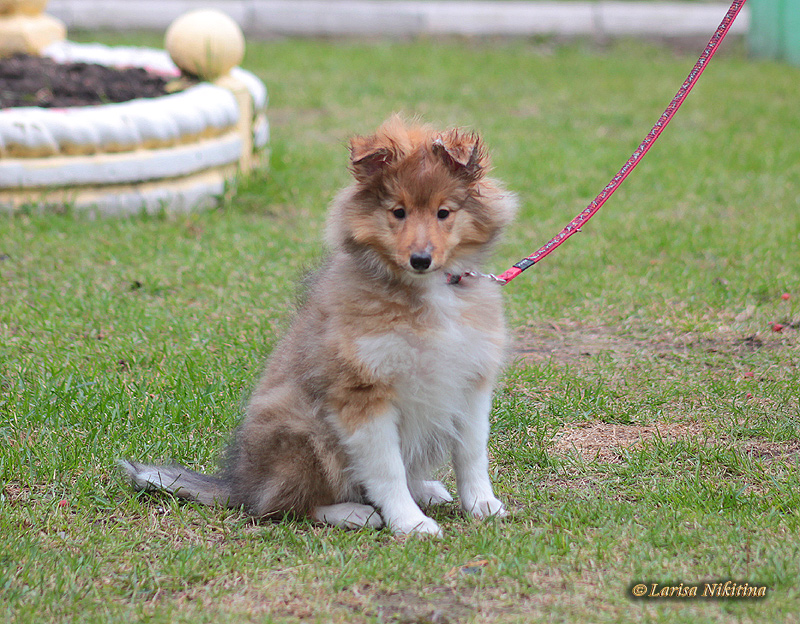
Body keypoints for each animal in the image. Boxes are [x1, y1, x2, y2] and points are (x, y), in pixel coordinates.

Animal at [119, 114, 520, 532]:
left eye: (444, 212)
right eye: (398, 212)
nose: (421, 259)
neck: (426, 292)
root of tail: (240, 486)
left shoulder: (470, 382)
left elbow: (471, 455)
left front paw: (483, 504)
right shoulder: (361, 392)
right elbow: (387, 469)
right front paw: (410, 523)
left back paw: (424, 490)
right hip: (303, 429)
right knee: (281, 506)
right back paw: (355, 512)